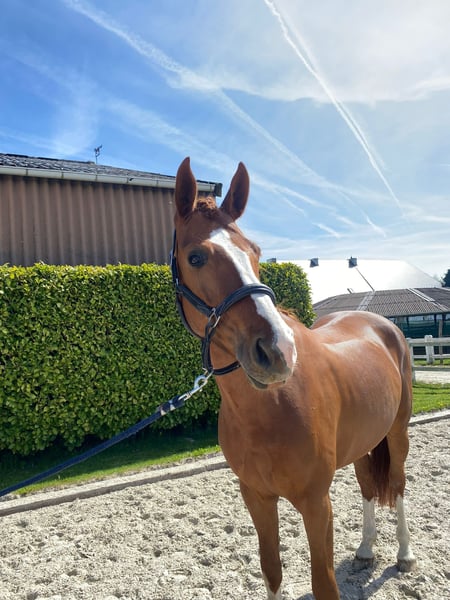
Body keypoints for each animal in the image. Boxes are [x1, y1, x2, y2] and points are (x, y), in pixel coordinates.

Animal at [171, 157, 416, 599]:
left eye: (255, 253)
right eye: (195, 257)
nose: (277, 351)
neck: (268, 409)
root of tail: (383, 325)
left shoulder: (316, 503)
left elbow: (324, 583)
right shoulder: (256, 497)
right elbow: (272, 570)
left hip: (397, 433)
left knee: (399, 485)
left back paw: (404, 555)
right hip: (363, 441)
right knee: (368, 487)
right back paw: (366, 550)